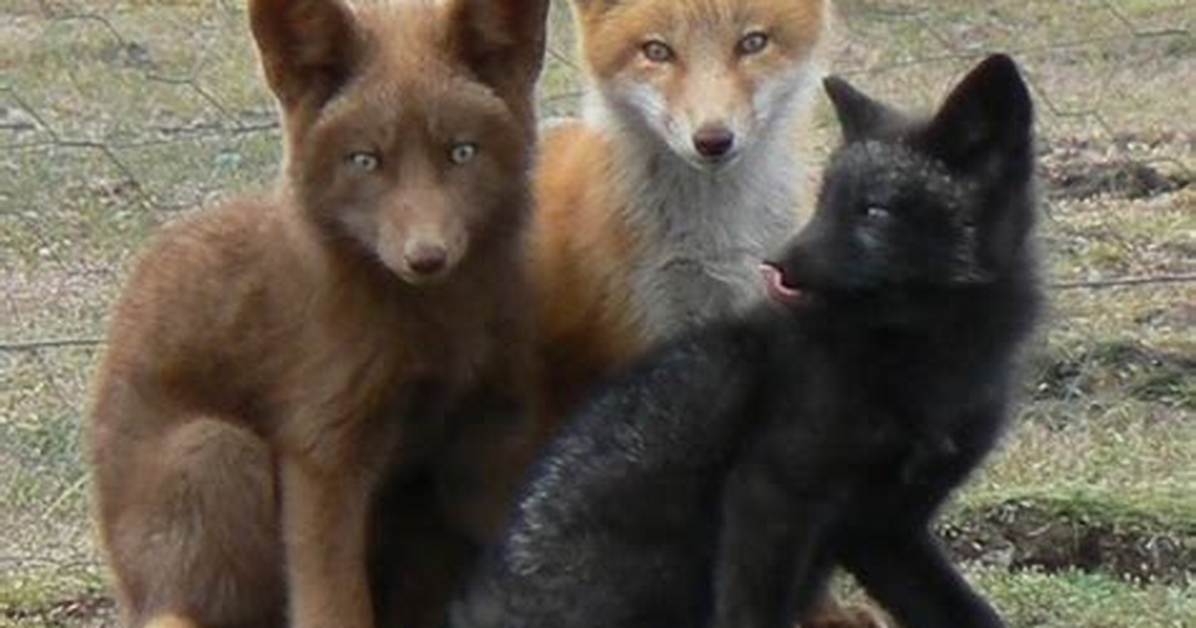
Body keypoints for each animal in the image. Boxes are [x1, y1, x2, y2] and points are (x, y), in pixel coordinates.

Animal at [86, 1, 550, 628]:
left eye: (462, 152)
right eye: (364, 161)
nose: (426, 257)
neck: (427, 328)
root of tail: (131, 591)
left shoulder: (488, 429)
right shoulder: (322, 453)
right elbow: (333, 601)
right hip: (214, 451)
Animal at [450, 54, 1040, 628]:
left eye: (875, 211)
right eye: (824, 203)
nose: (775, 264)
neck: (926, 369)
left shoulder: (886, 528)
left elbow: (964, 612)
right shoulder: (771, 491)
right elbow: (749, 610)